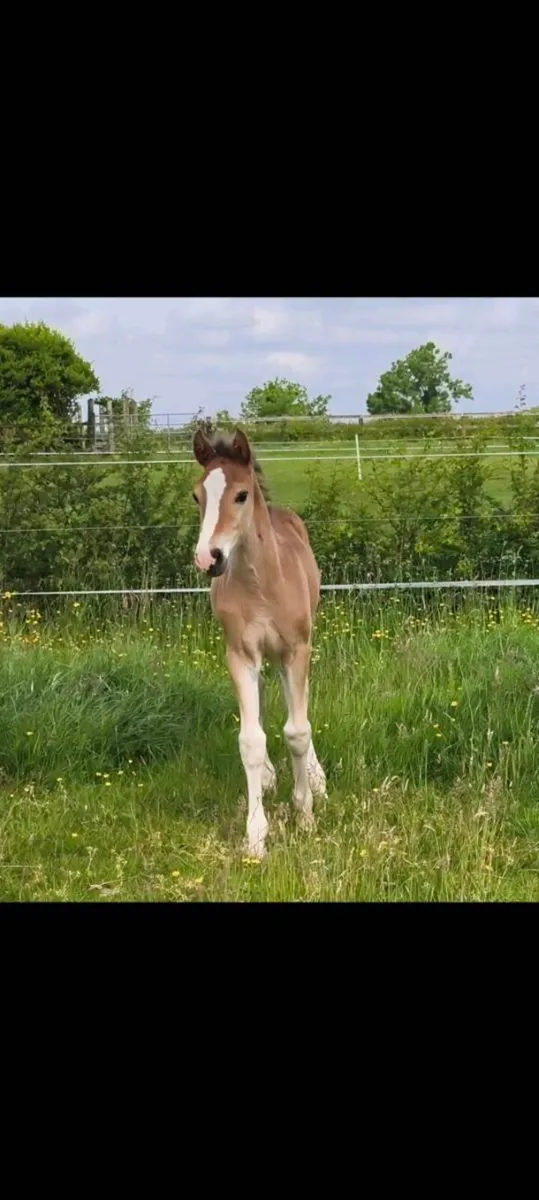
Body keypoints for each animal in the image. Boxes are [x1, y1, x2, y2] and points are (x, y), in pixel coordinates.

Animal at [192, 427, 327, 858]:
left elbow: (298, 731)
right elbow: (250, 740)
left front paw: (305, 813)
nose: (209, 558)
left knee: (299, 706)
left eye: (240, 495)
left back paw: (316, 776)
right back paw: (269, 775)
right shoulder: (240, 655)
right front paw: (255, 837)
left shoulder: (296, 651)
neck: (261, 581)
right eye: (197, 496)